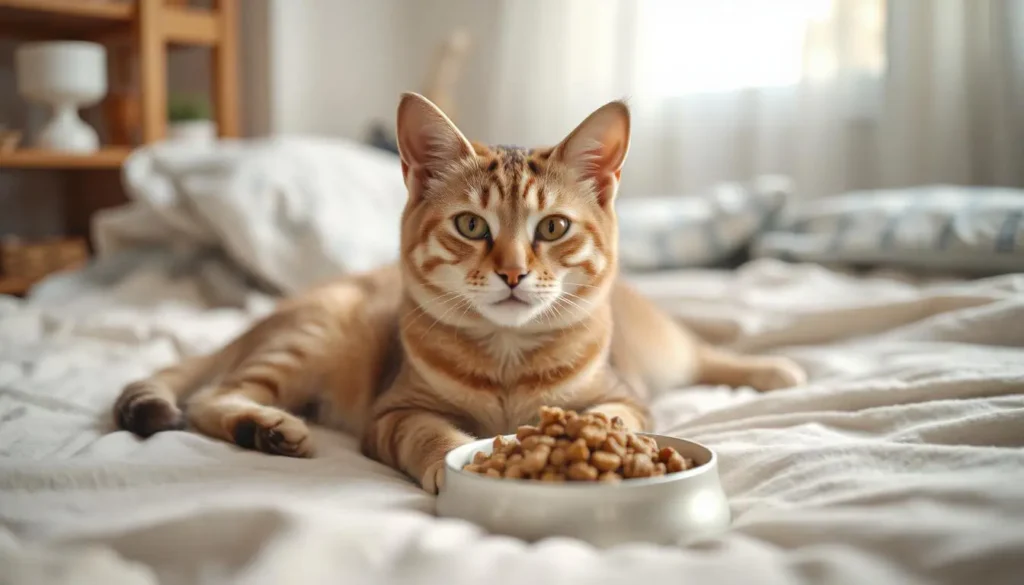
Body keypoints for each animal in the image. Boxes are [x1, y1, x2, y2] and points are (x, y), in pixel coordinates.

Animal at [114, 92, 806, 493]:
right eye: (472, 226)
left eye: (552, 228)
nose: (513, 273)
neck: (507, 360)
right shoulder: (394, 412)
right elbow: (433, 438)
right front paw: (460, 465)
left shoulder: (626, 397)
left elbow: (609, 417)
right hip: (314, 336)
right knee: (210, 398)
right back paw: (268, 428)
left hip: (666, 349)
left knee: (708, 352)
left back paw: (776, 368)